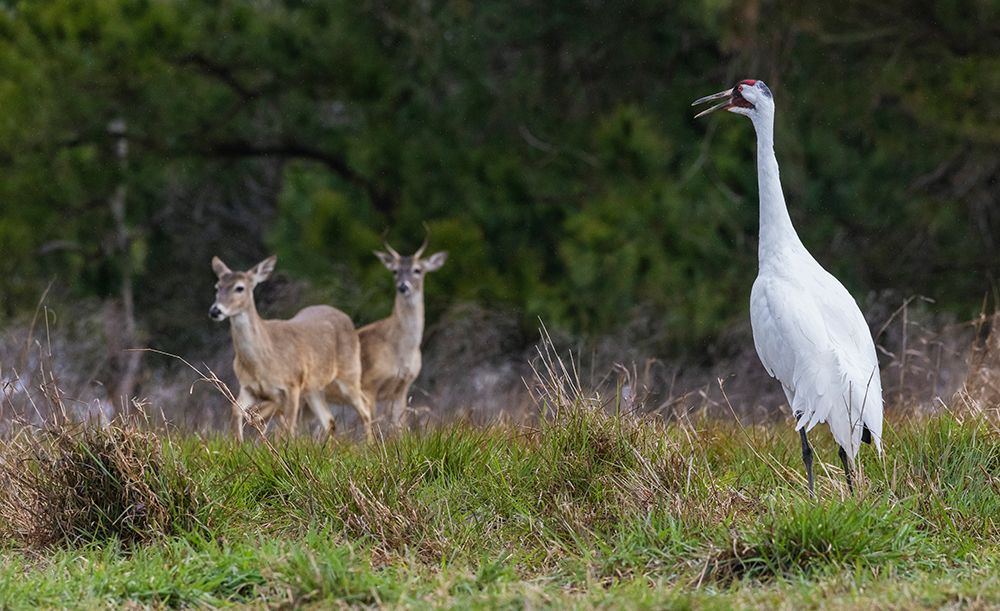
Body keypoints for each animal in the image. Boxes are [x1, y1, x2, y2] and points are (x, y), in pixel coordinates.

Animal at [209, 255, 373, 442]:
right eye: (217, 287)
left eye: (239, 288)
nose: (215, 310)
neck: (262, 361)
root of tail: (347, 318)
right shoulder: (249, 387)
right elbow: (236, 411)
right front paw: (240, 444)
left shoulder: (292, 384)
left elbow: (288, 427)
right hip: (313, 387)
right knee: (329, 420)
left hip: (349, 374)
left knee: (365, 407)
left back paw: (371, 444)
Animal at [354, 237, 447, 432]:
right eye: (395, 271)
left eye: (417, 270)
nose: (403, 286)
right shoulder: (368, 384)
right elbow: (371, 423)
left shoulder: (402, 387)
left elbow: (399, 425)